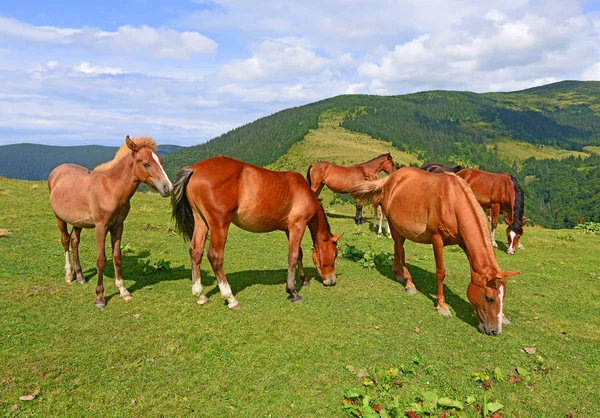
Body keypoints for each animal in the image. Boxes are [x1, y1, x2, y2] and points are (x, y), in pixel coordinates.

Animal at [48, 136, 172, 308]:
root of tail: (56, 171)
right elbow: (101, 260)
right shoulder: (101, 227)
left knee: (74, 240)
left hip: (78, 221)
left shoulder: (118, 226)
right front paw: (100, 298)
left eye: (161, 162)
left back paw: (80, 276)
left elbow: (117, 257)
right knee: (65, 240)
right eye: (146, 163)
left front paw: (123, 290)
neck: (111, 190)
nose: (168, 188)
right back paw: (68, 275)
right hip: (59, 217)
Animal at [171, 155, 344, 308]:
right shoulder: (298, 226)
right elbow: (293, 256)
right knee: (215, 257)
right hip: (219, 224)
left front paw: (304, 279)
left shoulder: (289, 229)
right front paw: (293, 292)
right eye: (335, 254)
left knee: (196, 252)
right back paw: (230, 298)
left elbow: (299, 254)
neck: (304, 190)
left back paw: (200, 295)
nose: (331, 281)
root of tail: (195, 169)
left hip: (201, 222)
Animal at [352, 167, 520, 336]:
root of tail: (390, 179)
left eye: (503, 297)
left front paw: (503, 316)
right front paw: (442, 306)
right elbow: (440, 273)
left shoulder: (464, 243)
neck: (452, 202)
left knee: (397, 248)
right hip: (393, 225)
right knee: (401, 251)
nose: (494, 331)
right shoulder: (437, 239)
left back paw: (398, 273)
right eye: (489, 297)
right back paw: (409, 283)